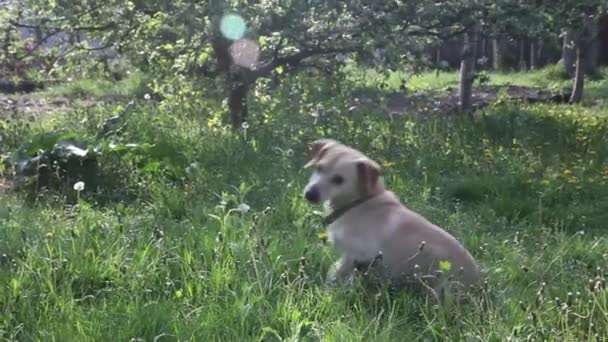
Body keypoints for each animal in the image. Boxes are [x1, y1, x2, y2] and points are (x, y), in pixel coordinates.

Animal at [302, 138, 480, 300]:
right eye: (319, 168)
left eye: (339, 179)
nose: (309, 194)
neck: (360, 202)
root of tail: (480, 286)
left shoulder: (356, 255)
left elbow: (336, 272)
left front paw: (330, 290)